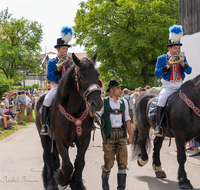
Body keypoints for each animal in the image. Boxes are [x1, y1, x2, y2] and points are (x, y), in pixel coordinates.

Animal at [34, 51, 103, 189]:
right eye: (81, 76)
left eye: (97, 74)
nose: (97, 103)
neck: (73, 109)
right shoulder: (60, 140)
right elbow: (67, 165)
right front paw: (62, 179)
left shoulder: (84, 139)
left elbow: (80, 162)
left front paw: (76, 183)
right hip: (44, 136)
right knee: (47, 156)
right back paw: (51, 182)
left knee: (53, 157)